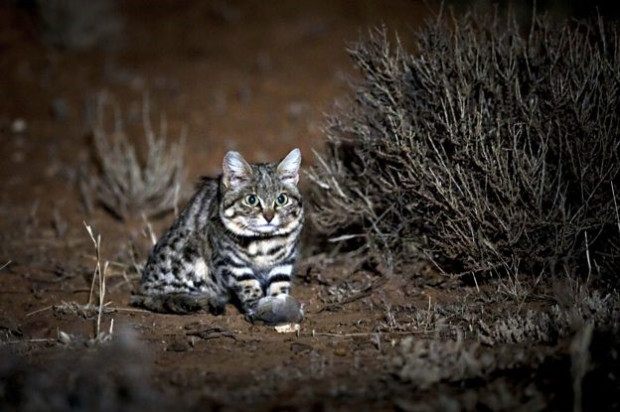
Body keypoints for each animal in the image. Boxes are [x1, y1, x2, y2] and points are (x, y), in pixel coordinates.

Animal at [132, 148, 304, 316]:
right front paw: (256, 307)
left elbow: (279, 284)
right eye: (251, 200)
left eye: (281, 199)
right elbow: (248, 285)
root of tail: (142, 291)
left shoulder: (284, 261)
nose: (269, 217)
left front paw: (280, 304)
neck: (264, 241)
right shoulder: (231, 262)